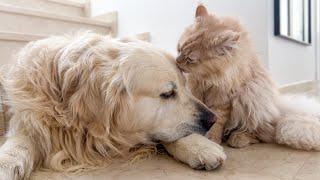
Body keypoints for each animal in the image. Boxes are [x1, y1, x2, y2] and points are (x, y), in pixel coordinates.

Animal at [0, 31, 226, 179]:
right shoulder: (28, 119)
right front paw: (6, 163)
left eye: (186, 86)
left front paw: (199, 146)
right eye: (168, 93)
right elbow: (18, 143)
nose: (213, 119)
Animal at [176, 4, 320, 150]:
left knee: (265, 133)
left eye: (190, 59)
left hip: (251, 96)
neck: (208, 77)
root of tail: (278, 108)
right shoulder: (196, 91)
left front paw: (212, 139)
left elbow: (218, 119)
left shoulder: (223, 98)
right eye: (179, 49)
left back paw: (238, 138)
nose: (177, 61)